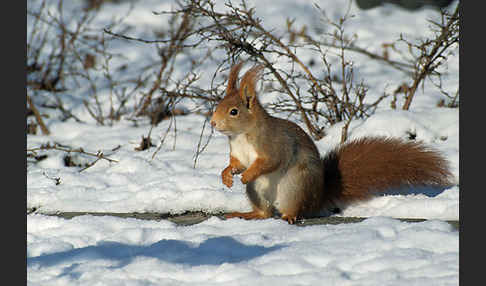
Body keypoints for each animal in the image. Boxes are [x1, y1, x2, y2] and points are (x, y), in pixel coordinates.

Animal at [211, 62, 454, 223]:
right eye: (218, 104)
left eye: (233, 111)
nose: (213, 123)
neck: (241, 135)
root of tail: (317, 199)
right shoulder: (238, 153)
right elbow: (235, 164)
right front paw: (227, 175)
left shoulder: (273, 144)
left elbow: (270, 162)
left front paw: (246, 175)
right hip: (258, 192)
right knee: (265, 213)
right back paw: (246, 214)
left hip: (295, 186)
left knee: (293, 210)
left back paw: (289, 215)